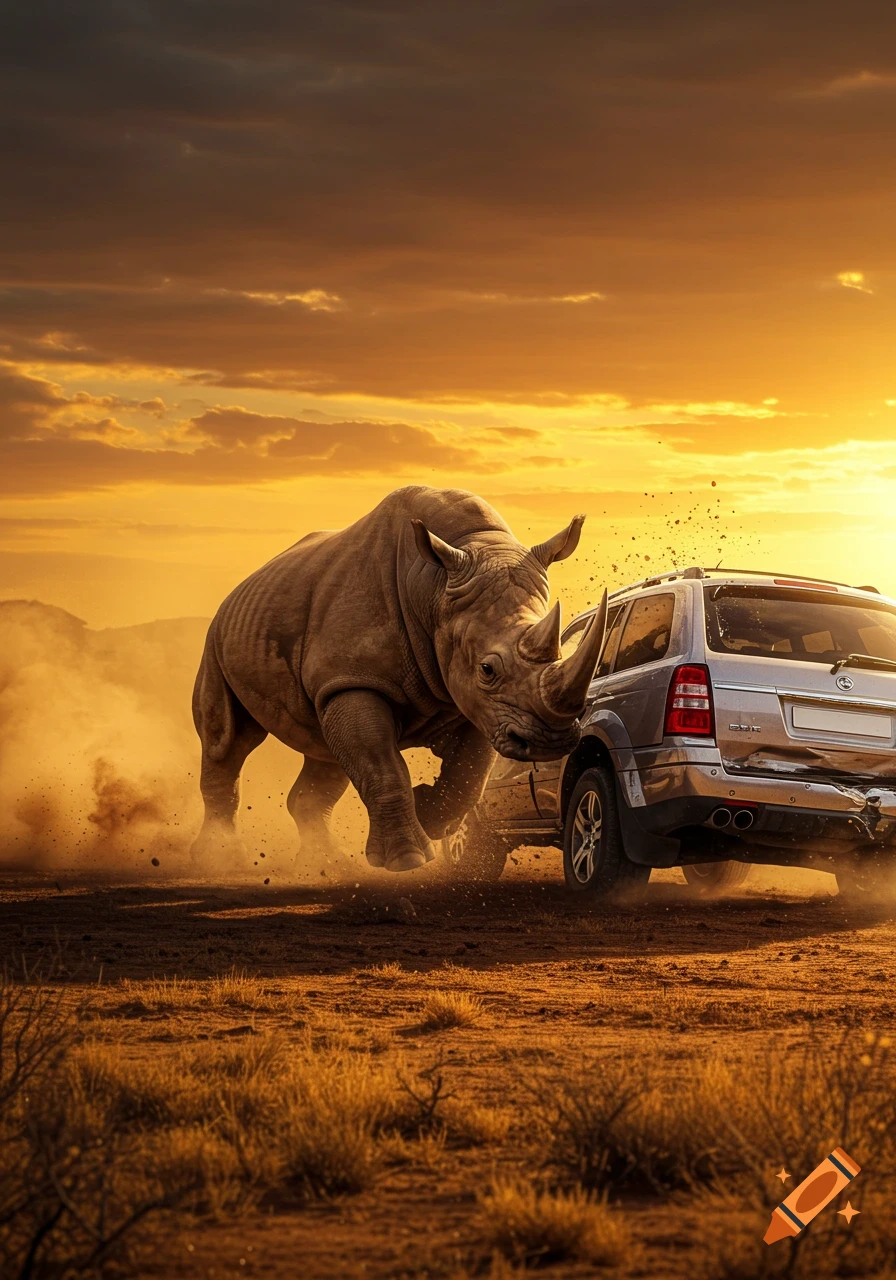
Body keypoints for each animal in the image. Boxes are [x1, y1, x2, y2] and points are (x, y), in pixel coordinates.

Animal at [191, 486, 607, 873]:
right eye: (487, 669)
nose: (551, 741)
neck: (434, 588)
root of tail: (239, 588)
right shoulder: (356, 678)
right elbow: (381, 764)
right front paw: (406, 859)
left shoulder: (479, 704)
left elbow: (469, 774)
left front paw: (427, 815)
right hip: (217, 638)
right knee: (228, 741)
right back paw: (223, 860)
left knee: (323, 751)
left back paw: (327, 865)